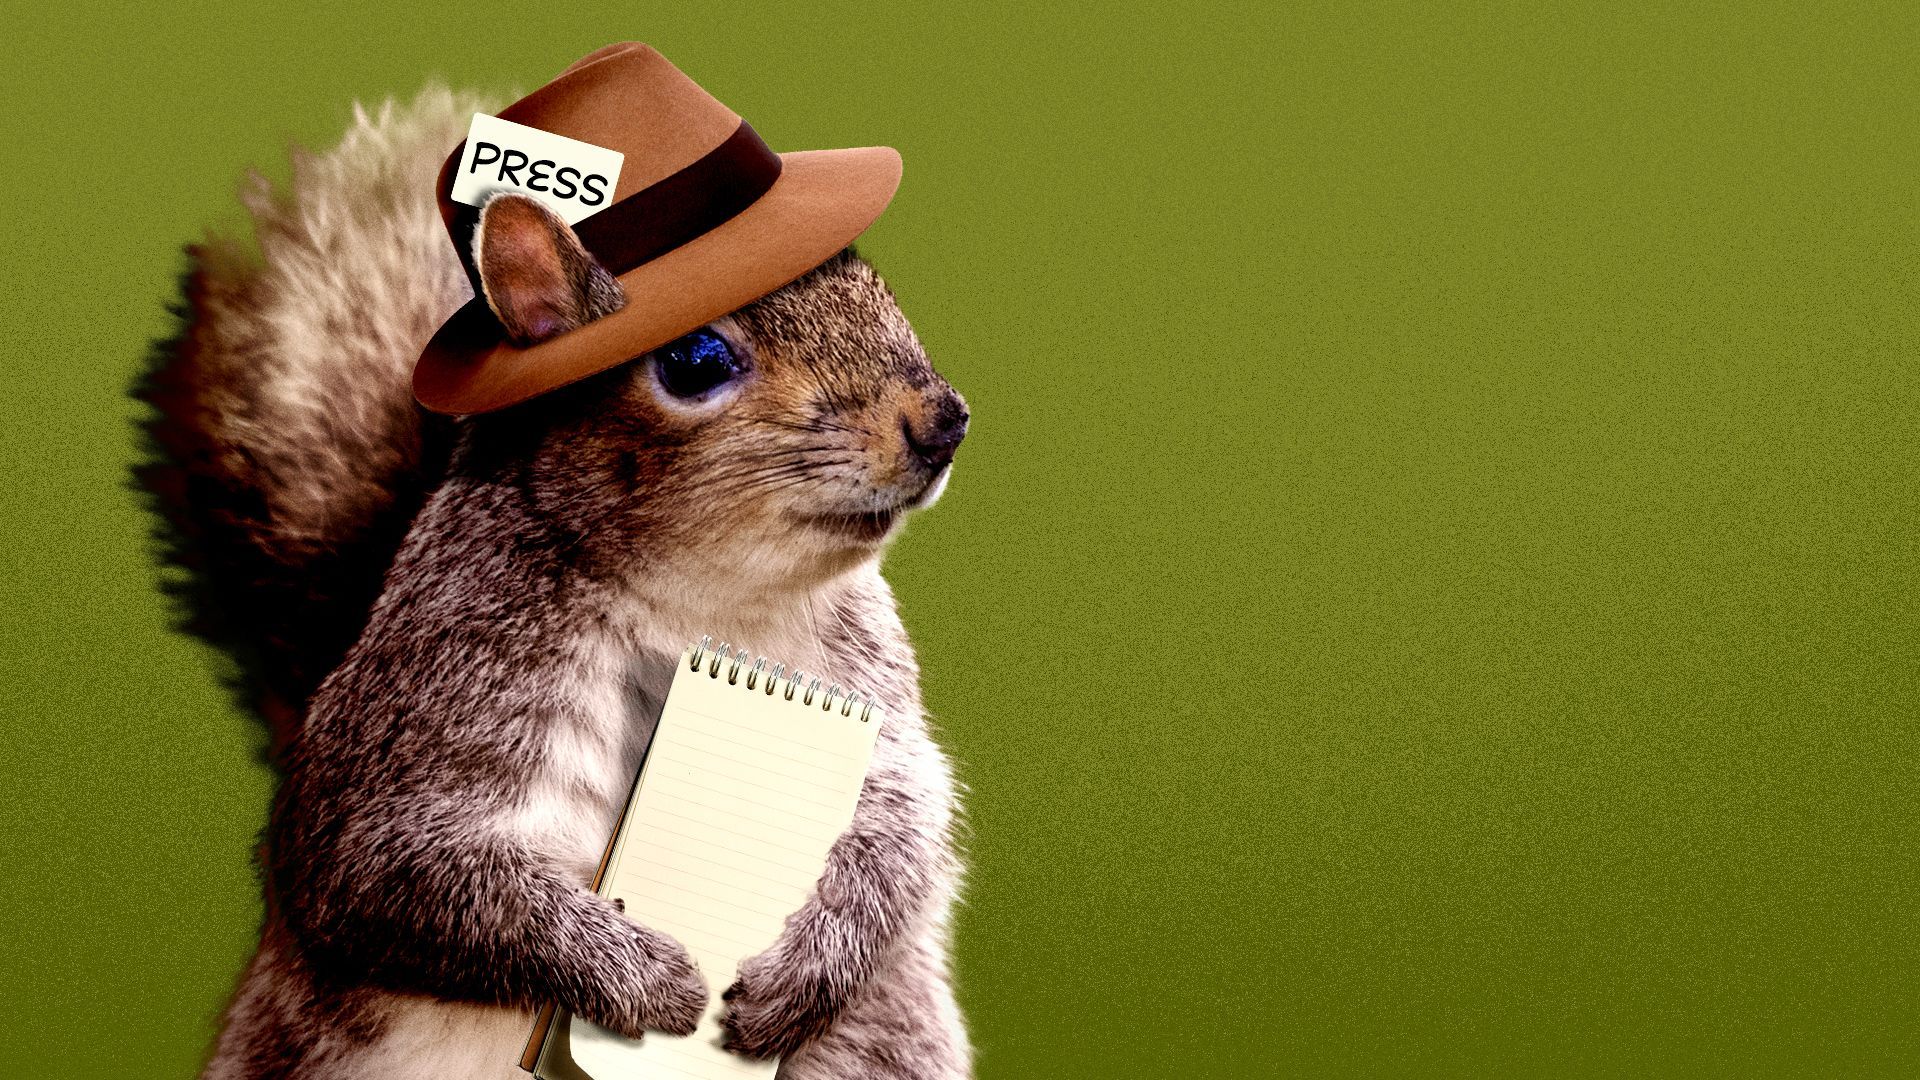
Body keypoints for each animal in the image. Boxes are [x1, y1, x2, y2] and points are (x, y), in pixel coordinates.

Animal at [135, 85, 972, 1080]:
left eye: (872, 283)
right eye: (695, 362)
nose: (945, 420)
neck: (702, 606)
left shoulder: (869, 692)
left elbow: (908, 817)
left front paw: (813, 962)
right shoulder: (426, 701)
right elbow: (390, 872)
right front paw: (642, 980)